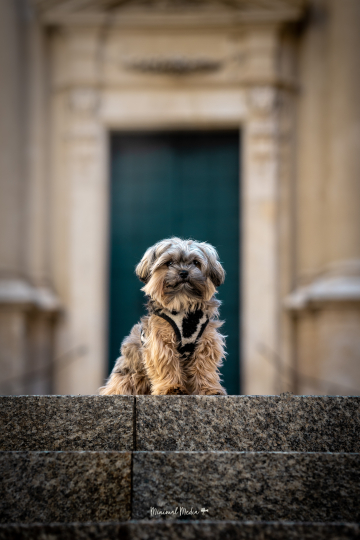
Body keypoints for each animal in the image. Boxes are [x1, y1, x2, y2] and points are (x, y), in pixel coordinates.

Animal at [98, 238, 226, 394]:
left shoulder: (207, 340)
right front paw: (171, 387)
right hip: (130, 373)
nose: (183, 272)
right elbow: (167, 363)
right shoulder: (160, 341)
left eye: (196, 262)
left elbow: (204, 366)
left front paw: (209, 389)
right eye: (169, 263)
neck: (182, 305)